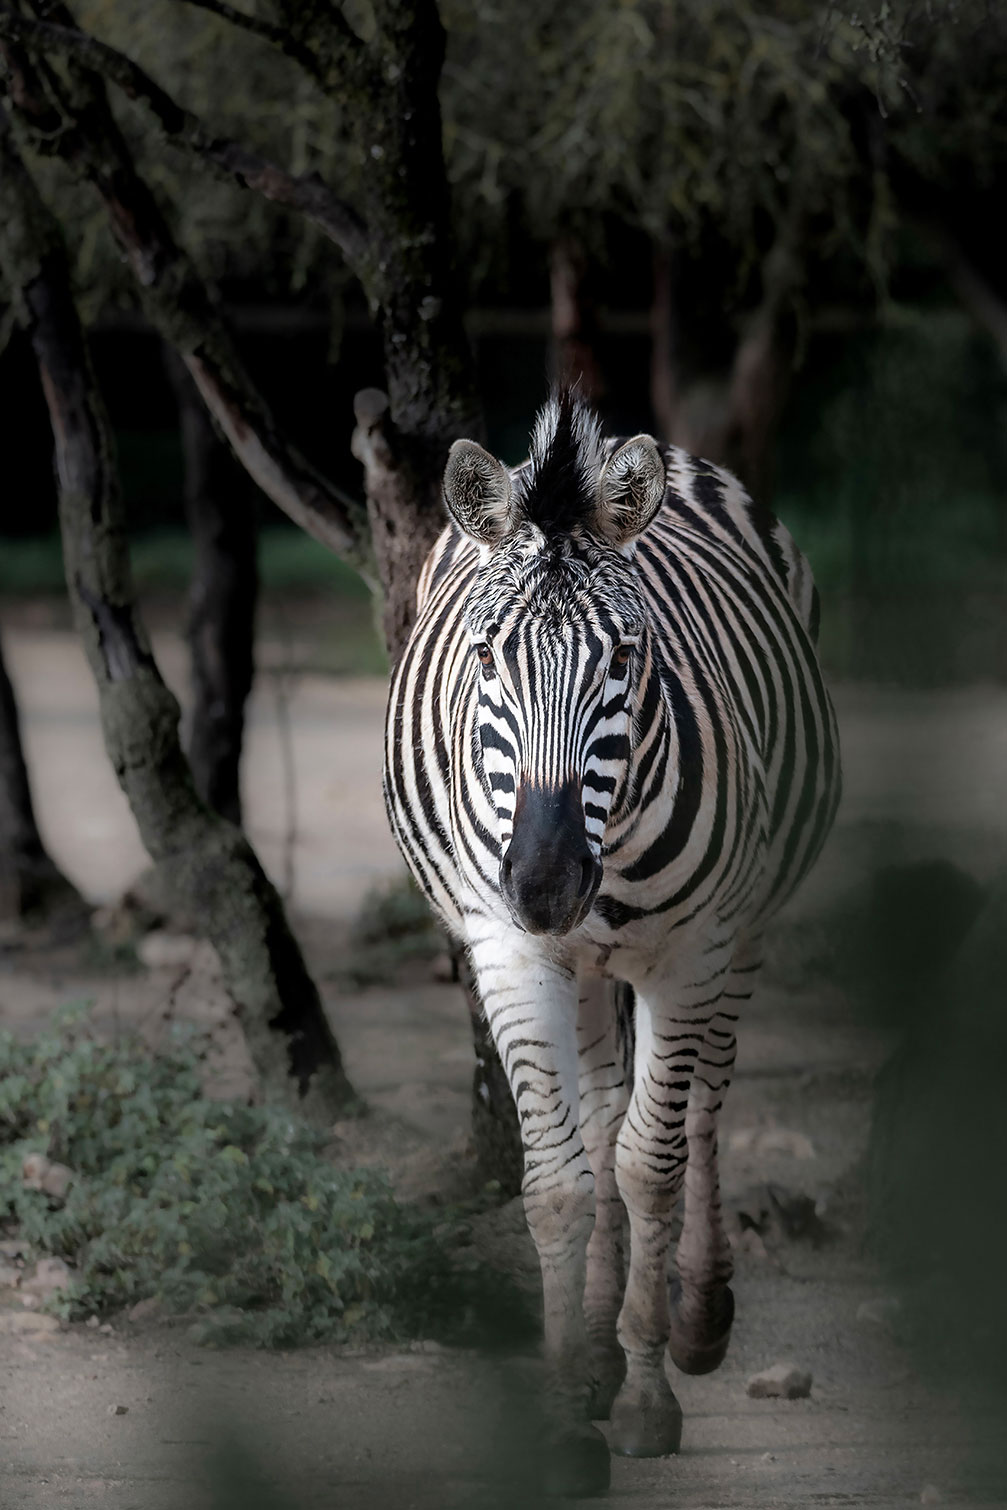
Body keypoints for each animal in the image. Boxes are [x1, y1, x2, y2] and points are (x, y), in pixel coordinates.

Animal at [383, 389, 840, 1496]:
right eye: (484, 658)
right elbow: (558, 1184)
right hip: (583, 966)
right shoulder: (510, 951)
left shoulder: (689, 955)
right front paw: (564, 1409)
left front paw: (643, 1395)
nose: (546, 882)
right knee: (595, 1116)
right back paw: (591, 1349)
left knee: (704, 1105)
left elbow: (650, 1166)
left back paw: (695, 1318)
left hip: (742, 931)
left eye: (625, 660)